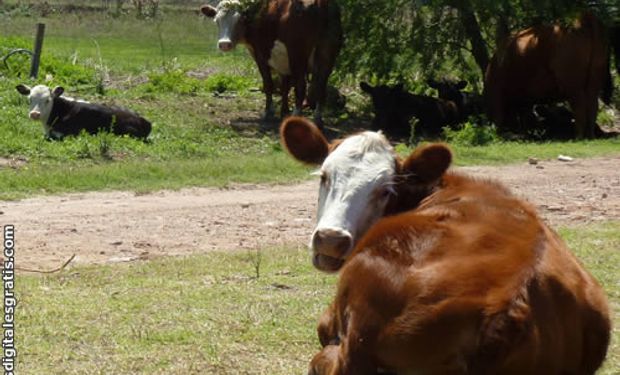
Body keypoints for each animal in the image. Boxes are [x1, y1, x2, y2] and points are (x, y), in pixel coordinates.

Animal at [201, 0, 342, 127]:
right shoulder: (283, 62)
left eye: (239, 20)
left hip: (297, 54)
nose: (224, 44)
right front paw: (284, 111)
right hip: (327, 54)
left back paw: (296, 115)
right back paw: (318, 119)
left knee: (301, 86)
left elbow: (268, 84)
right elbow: (285, 86)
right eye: (217, 21)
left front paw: (268, 112)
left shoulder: (261, 55)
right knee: (321, 87)